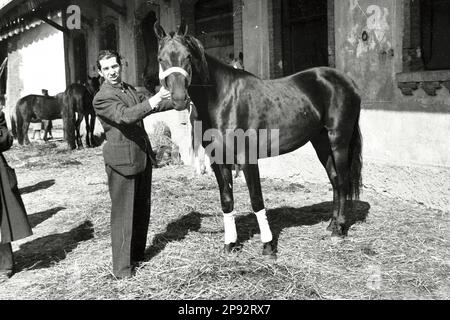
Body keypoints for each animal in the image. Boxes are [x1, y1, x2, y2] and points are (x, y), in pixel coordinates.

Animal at [154, 21, 362, 258]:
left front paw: (268, 245)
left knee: (343, 180)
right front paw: (230, 244)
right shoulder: (218, 160)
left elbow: (256, 199)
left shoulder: (247, 158)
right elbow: (227, 200)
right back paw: (332, 224)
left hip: (339, 141)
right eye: (161, 58)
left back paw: (339, 229)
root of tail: (347, 82)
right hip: (321, 142)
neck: (223, 98)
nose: (179, 99)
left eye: (188, 56)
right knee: (335, 179)